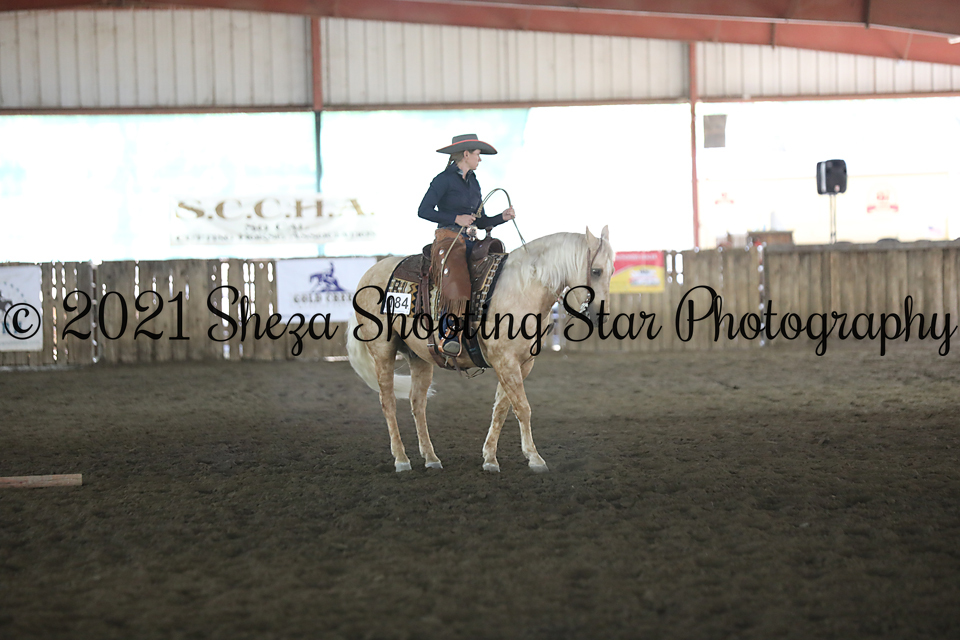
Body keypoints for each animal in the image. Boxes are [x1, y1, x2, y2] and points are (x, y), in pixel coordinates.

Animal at [346, 226, 613, 473]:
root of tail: (370, 273)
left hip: (419, 356)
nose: (600, 316)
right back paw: (401, 459)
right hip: (383, 350)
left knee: (417, 403)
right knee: (388, 402)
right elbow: (522, 408)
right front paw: (535, 458)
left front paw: (490, 459)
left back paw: (431, 458)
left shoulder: (522, 364)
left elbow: (502, 408)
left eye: (611, 271)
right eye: (596, 271)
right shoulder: (505, 361)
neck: (523, 287)